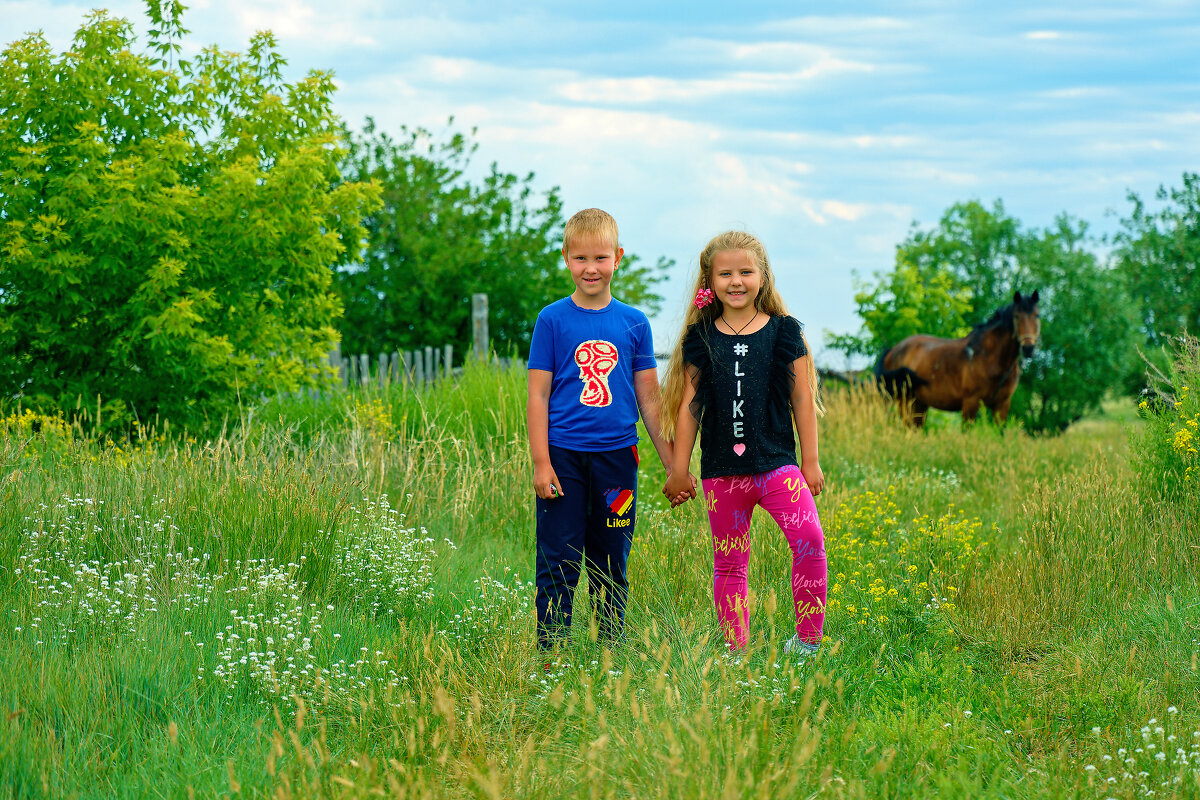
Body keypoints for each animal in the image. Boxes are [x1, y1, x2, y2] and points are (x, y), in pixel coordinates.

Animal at [873, 289, 1041, 424]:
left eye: (1037, 316)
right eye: (1017, 316)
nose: (1028, 348)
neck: (988, 357)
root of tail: (893, 350)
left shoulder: (1002, 405)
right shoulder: (970, 403)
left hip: (918, 403)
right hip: (904, 401)